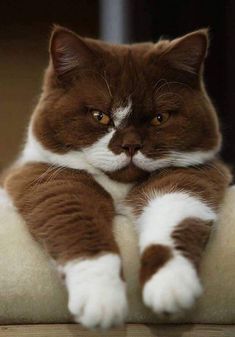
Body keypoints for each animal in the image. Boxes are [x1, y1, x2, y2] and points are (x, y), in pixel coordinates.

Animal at [0, 26, 231, 328]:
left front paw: (170, 285)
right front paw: (102, 300)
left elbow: (176, 206)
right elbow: (77, 222)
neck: (120, 187)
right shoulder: (42, 176)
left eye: (159, 118)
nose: (131, 145)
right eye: (100, 116)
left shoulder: (196, 171)